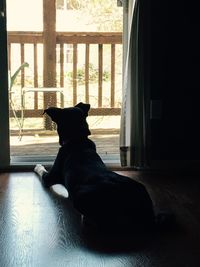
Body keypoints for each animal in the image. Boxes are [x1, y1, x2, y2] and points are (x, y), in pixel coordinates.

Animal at [34, 102, 156, 232]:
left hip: (80, 195)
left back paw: (87, 220)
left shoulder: (50, 177)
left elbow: (41, 171)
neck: (77, 139)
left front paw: (37, 165)